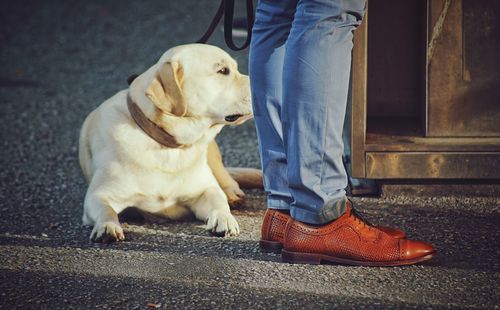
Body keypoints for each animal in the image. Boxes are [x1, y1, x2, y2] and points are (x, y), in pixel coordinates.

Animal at [78, 43, 260, 242]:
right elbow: (106, 210)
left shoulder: (205, 190)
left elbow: (218, 200)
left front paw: (225, 218)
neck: (166, 148)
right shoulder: (98, 195)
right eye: (222, 70)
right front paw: (107, 226)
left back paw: (231, 192)